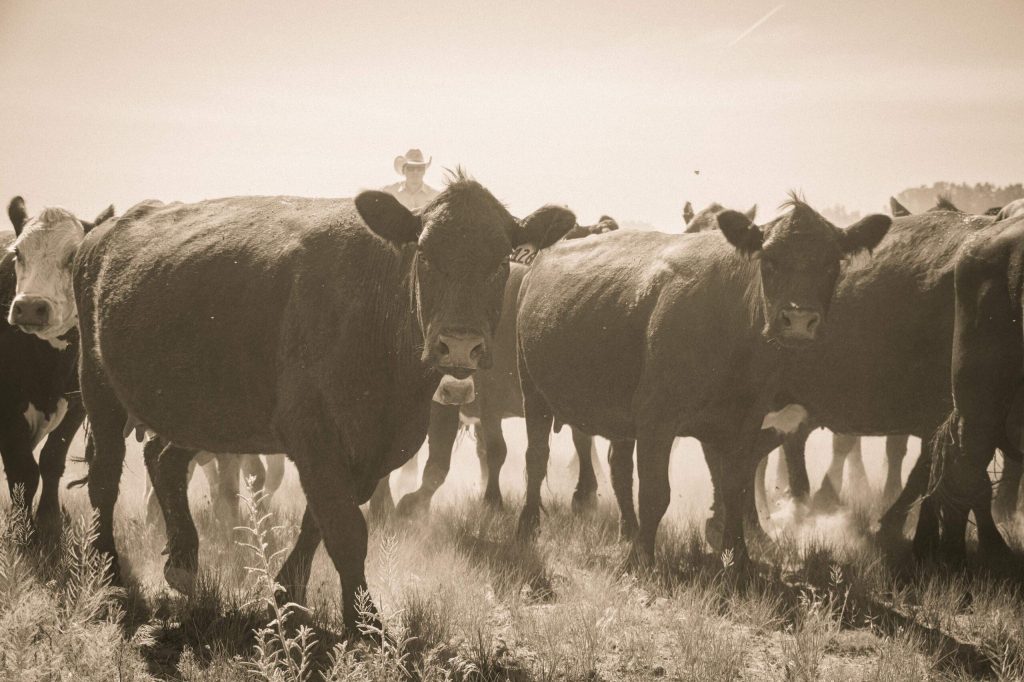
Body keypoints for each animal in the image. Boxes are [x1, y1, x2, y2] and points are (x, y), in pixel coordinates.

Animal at [2, 197, 112, 536]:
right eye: (18, 253)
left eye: (74, 256)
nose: (29, 307)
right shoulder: (8, 408)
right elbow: (23, 471)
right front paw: (21, 529)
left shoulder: (77, 404)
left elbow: (51, 460)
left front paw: (49, 517)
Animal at [65, 175, 574, 630]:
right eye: (426, 255)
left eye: (501, 261)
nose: (460, 345)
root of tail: (102, 231)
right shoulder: (313, 436)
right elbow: (346, 530)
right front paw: (364, 624)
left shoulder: (369, 452)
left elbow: (319, 522)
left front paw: (288, 595)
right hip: (99, 386)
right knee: (105, 477)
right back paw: (111, 576)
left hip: (208, 407)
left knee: (163, 457)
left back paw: (184, 561)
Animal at [513, 196, 891, 565]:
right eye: (769, 259)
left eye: (832, 264)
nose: (799, 321)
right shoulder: (657, 418)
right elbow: (655, 493)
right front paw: (641, 560)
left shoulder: (744, 423)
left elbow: (734, 490)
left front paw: (738, 558)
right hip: (533, 393)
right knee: (536, 457)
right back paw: (528, 526)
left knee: (618, 468)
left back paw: (629, 531)